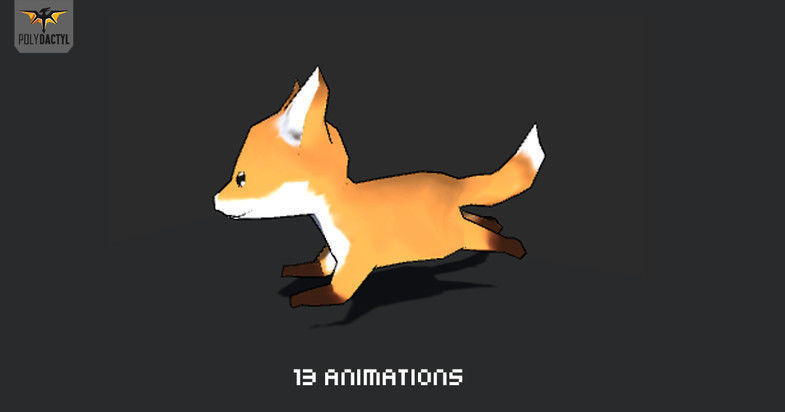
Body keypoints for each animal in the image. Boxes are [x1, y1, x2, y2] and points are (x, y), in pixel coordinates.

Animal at [214, 67, 545, 308]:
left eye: (240, 178)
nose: (215, 199)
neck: (331, 218)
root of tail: (453, 182)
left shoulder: (358, 260)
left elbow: (337, 292)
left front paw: (302, 298)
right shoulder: (335, 252)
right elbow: (319, 265)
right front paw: (297, 269)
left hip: (448, 239)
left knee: (483, 236)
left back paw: (514, 246)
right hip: (451, 226)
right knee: (478, 218)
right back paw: (494, 223)